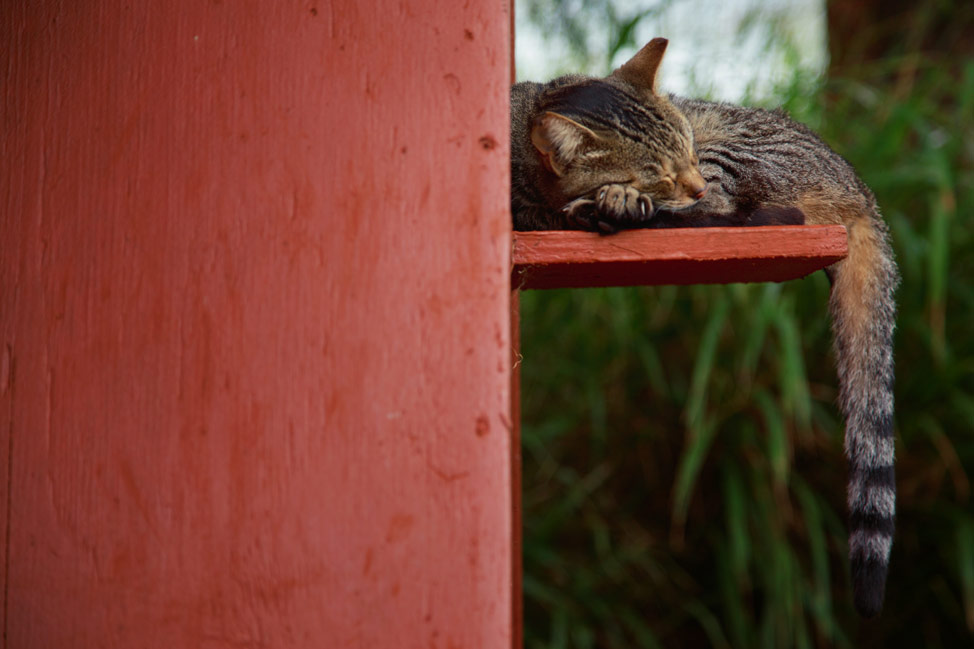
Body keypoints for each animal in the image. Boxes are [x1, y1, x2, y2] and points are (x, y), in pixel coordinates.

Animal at [510, 38, 900, 616]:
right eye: (657, 169)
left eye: (688, 150)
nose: (688, 184)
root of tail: (861, 188)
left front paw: (615, 204)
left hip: (737, 154)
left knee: (742, 212)